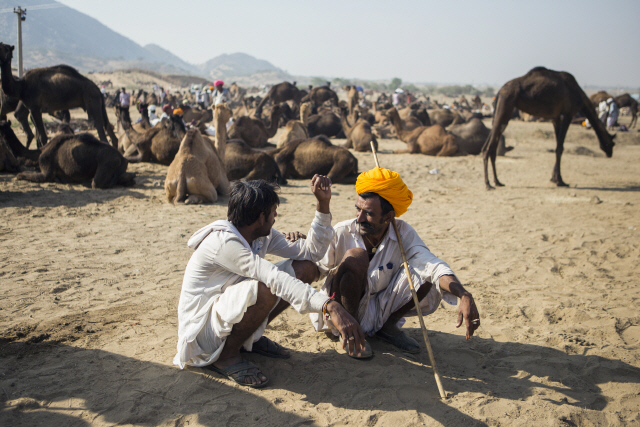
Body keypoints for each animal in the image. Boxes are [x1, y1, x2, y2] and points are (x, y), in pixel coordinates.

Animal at [480, 67, 616, 191]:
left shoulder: (556, 118)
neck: (580, 96)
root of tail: (499, 92)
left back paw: (498, 182)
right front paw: (560, 181)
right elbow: (560, 148)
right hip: (506, 104)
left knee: (491, 146)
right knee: (487, 148)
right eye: (612, 143)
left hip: (503, 111)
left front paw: (554, 179)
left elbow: (557, 147)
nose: (610, 154)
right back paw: (488, 184)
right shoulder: (568, 114)